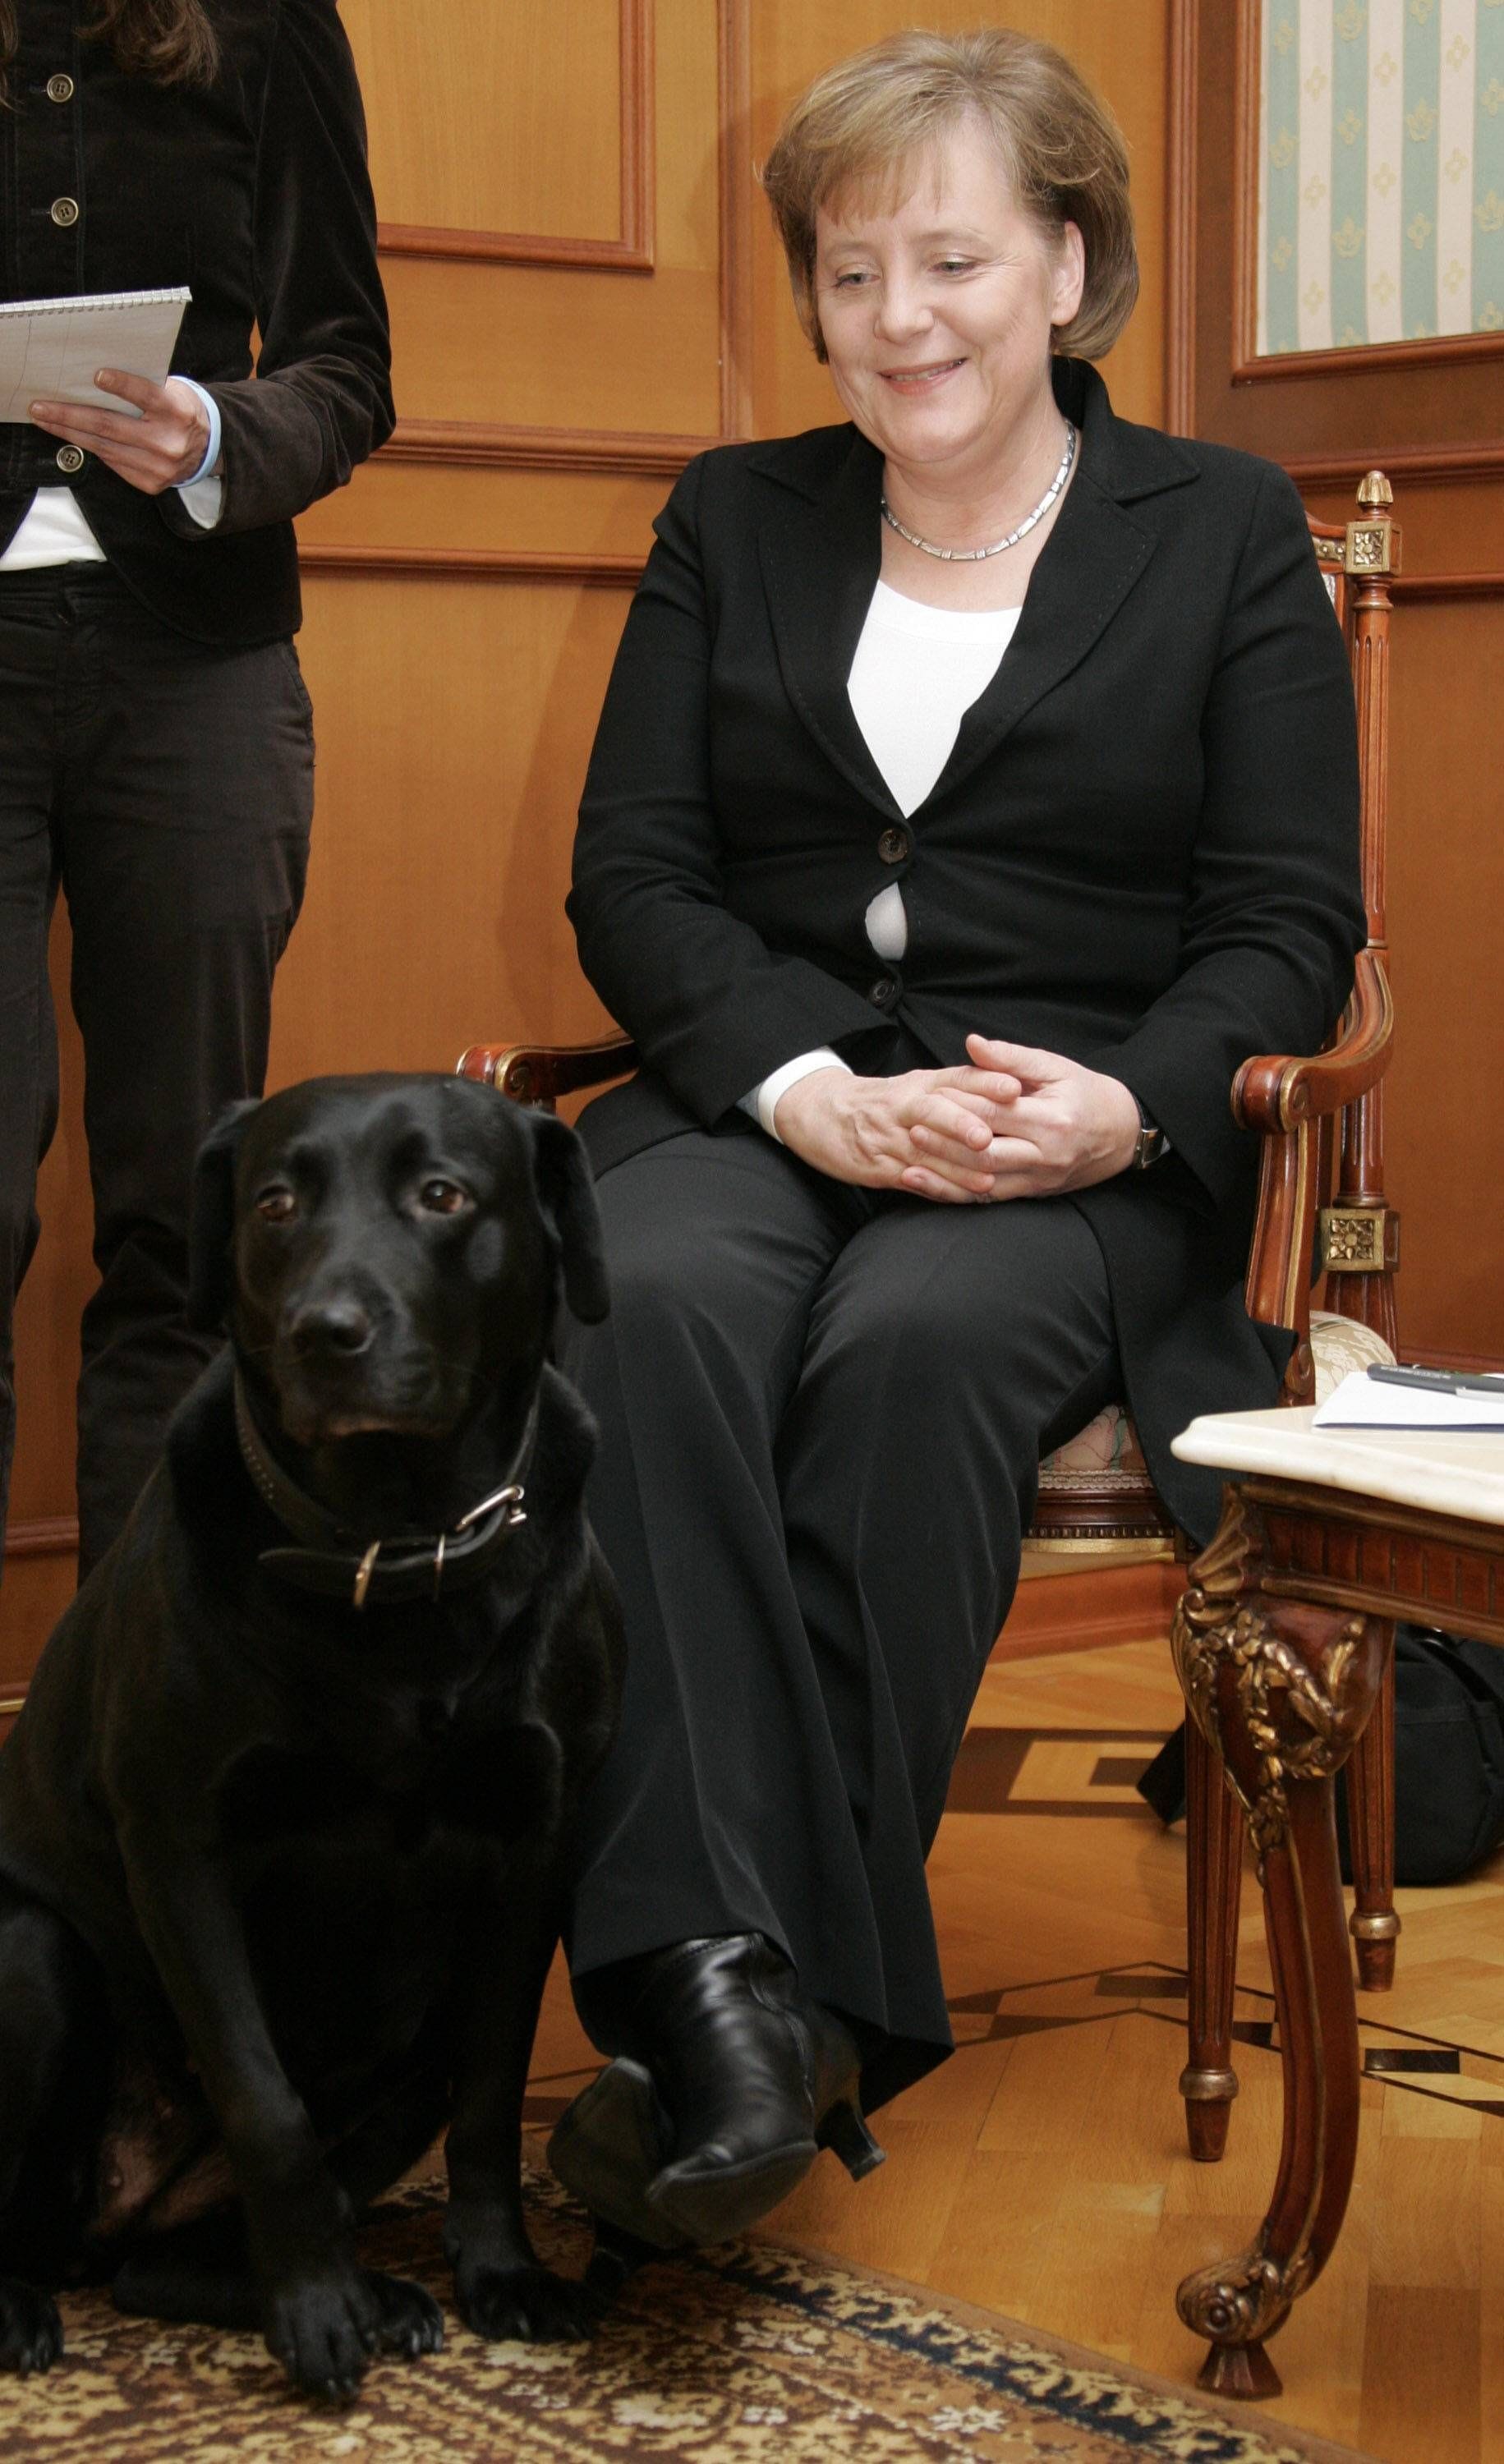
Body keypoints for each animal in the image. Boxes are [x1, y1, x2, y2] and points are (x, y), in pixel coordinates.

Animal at [0, 1069, 621, 2395]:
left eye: (442, 1195)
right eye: (275, 1204)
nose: (323, 1333)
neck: (394, 1549)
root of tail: (104, 2218)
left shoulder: (534, 1841)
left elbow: (493, 2092)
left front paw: (501, 2274)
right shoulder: (178, 1845)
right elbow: (264, 2102)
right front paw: (319, 2312)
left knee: (150, 2272)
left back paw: (381, 2293)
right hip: (31, 1953)